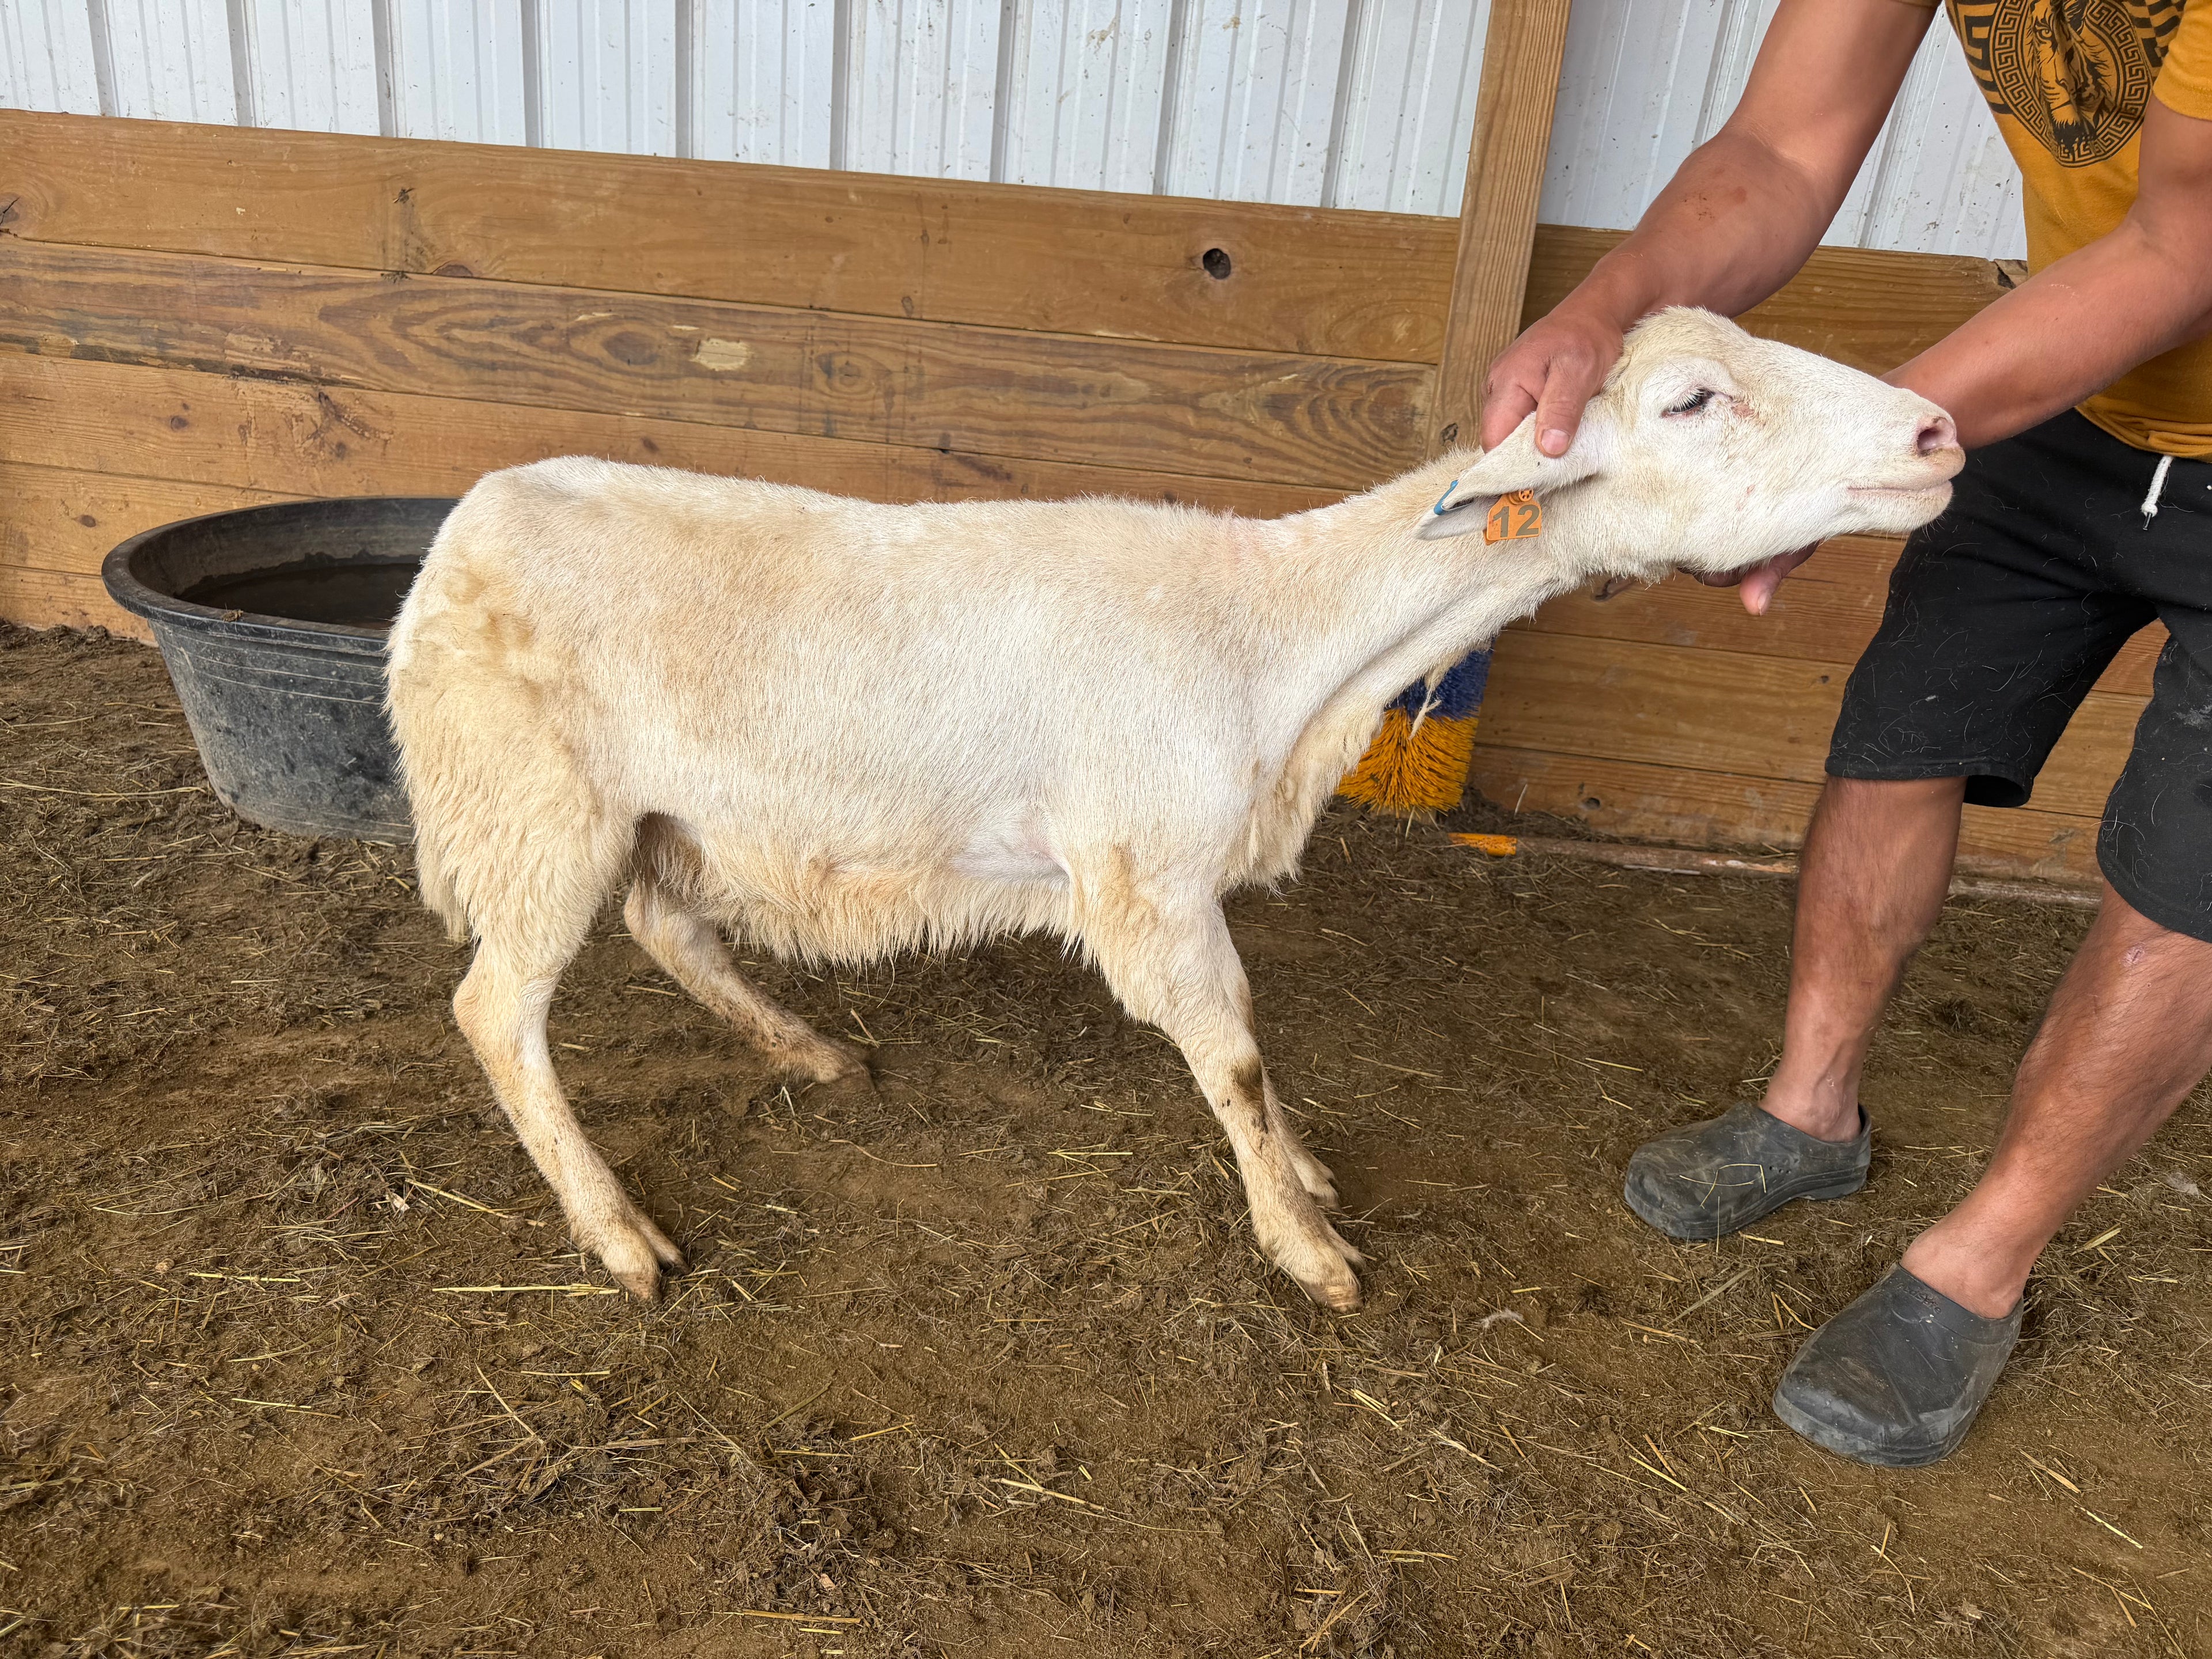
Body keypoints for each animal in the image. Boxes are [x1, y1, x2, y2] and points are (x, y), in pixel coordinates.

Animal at [386, 307, 1960, 1311]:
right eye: (1691, 400)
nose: (1940, 432)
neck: (1280, 641)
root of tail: (461, 529)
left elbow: (1253, 1062)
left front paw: (1304, 1177)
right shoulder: (1149, 877)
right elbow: (1236, 1056)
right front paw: (1306, 1243)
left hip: (662, 815)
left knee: (669, 931)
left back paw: (806, 1048)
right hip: (534, 807)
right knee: (496, 1013)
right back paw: (617, 1232)